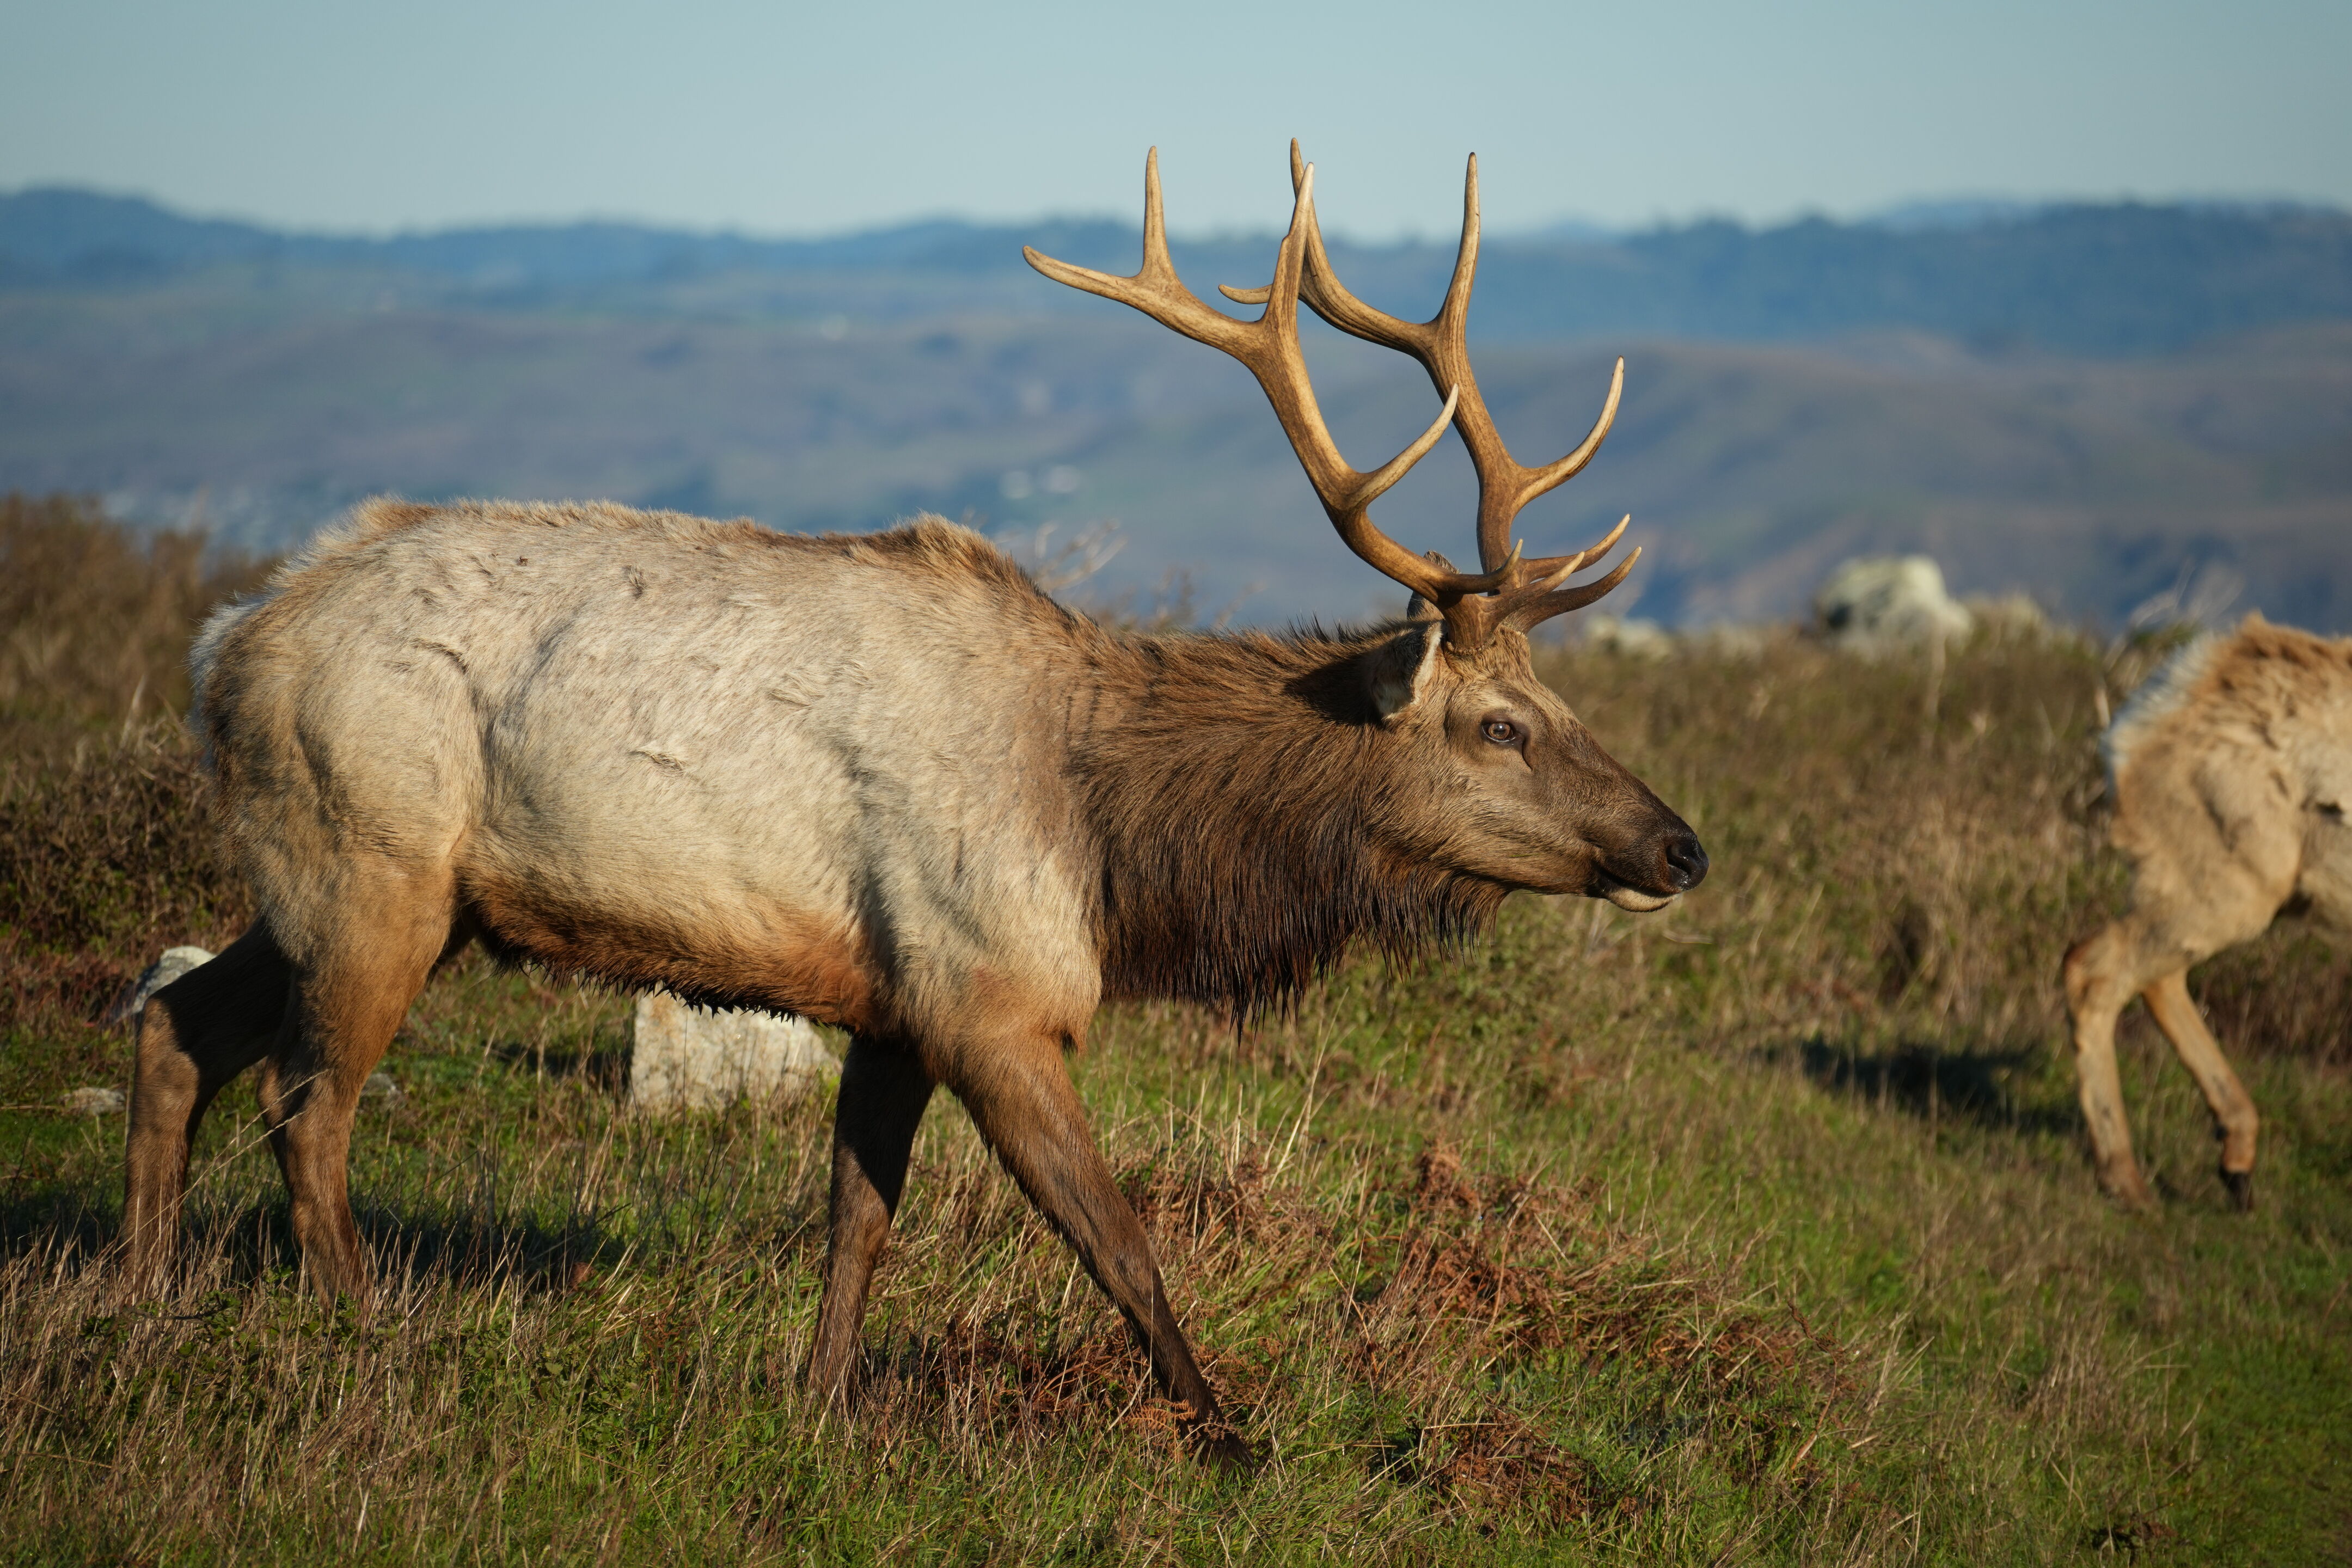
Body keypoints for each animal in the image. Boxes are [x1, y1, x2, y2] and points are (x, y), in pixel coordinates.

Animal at [124, 144, 1707, 1463]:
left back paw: (144, 1301)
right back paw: (367, 1338)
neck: (1116, 848)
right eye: (1499, 724)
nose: (1680, 844)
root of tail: (226, 642)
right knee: (306, 1107)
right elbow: (1117, 1238)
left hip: (344, 882)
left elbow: (858, 1224)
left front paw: (821, 1408)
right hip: (373, 865)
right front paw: (1229, 1436)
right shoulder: (989, 994)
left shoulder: (890, 1007)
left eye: (1558, 702)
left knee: (177, 1021)